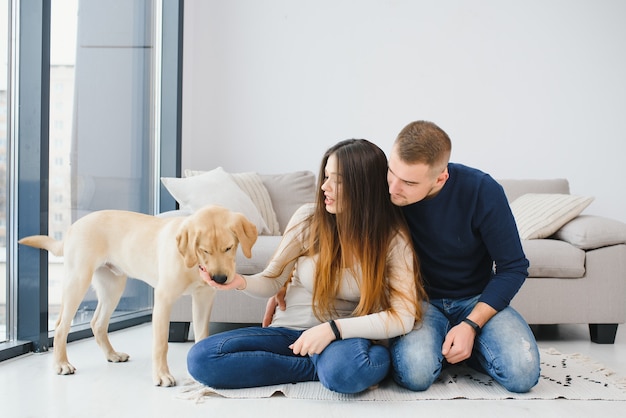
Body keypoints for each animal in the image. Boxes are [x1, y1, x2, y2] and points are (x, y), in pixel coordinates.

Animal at [18, 204, 256, 386]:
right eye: (204, 250)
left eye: (229, 248)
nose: (220, 278)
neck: (190, 262)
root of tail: (72, 227)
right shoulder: (163, 299)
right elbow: (161, 343)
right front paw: (162, 375)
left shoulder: (204, 298)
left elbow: (202, 334)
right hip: (78, 280)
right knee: (61, 326)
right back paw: (61, 364)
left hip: (113, 287)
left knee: (98, 323)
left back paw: (112, 355)